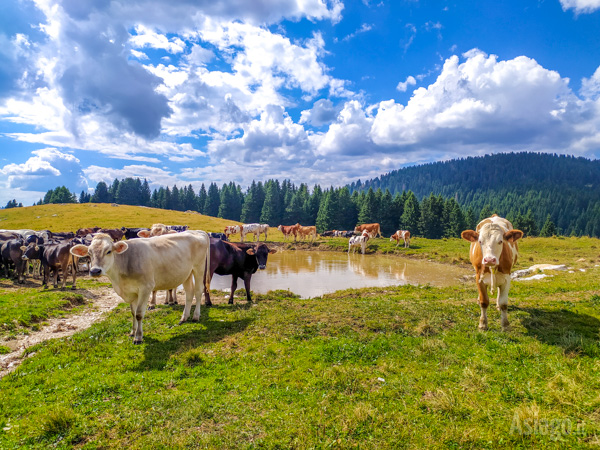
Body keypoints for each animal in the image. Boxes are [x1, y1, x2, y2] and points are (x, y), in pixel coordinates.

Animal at [70, 232, 210, 344]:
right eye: (89, 253)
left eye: (108, 251)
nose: (95, 271)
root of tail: (198, 231)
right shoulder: (132, 292)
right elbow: (132, 312)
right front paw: (133, 331)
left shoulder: (146, 288)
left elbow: (139, 314)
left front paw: (138, 337)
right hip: (186, 273)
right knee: (189, 292)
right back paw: (184, 318)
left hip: (199, 268)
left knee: (198, 291)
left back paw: (195, 316)